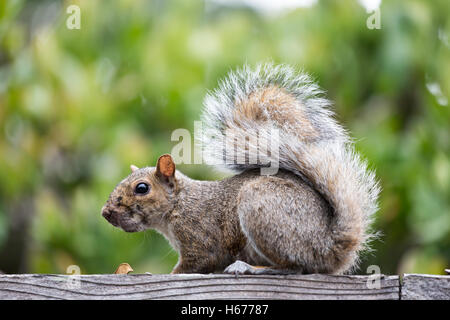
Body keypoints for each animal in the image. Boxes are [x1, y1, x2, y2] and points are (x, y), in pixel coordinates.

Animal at [102, 63, 380, 276]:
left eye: (142, 188)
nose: (106, 212)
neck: (179, 204)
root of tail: (330, 247)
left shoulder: (201, 240)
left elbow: (196, 264)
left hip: (262, 209)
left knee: (294, 267)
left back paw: (250, 268)